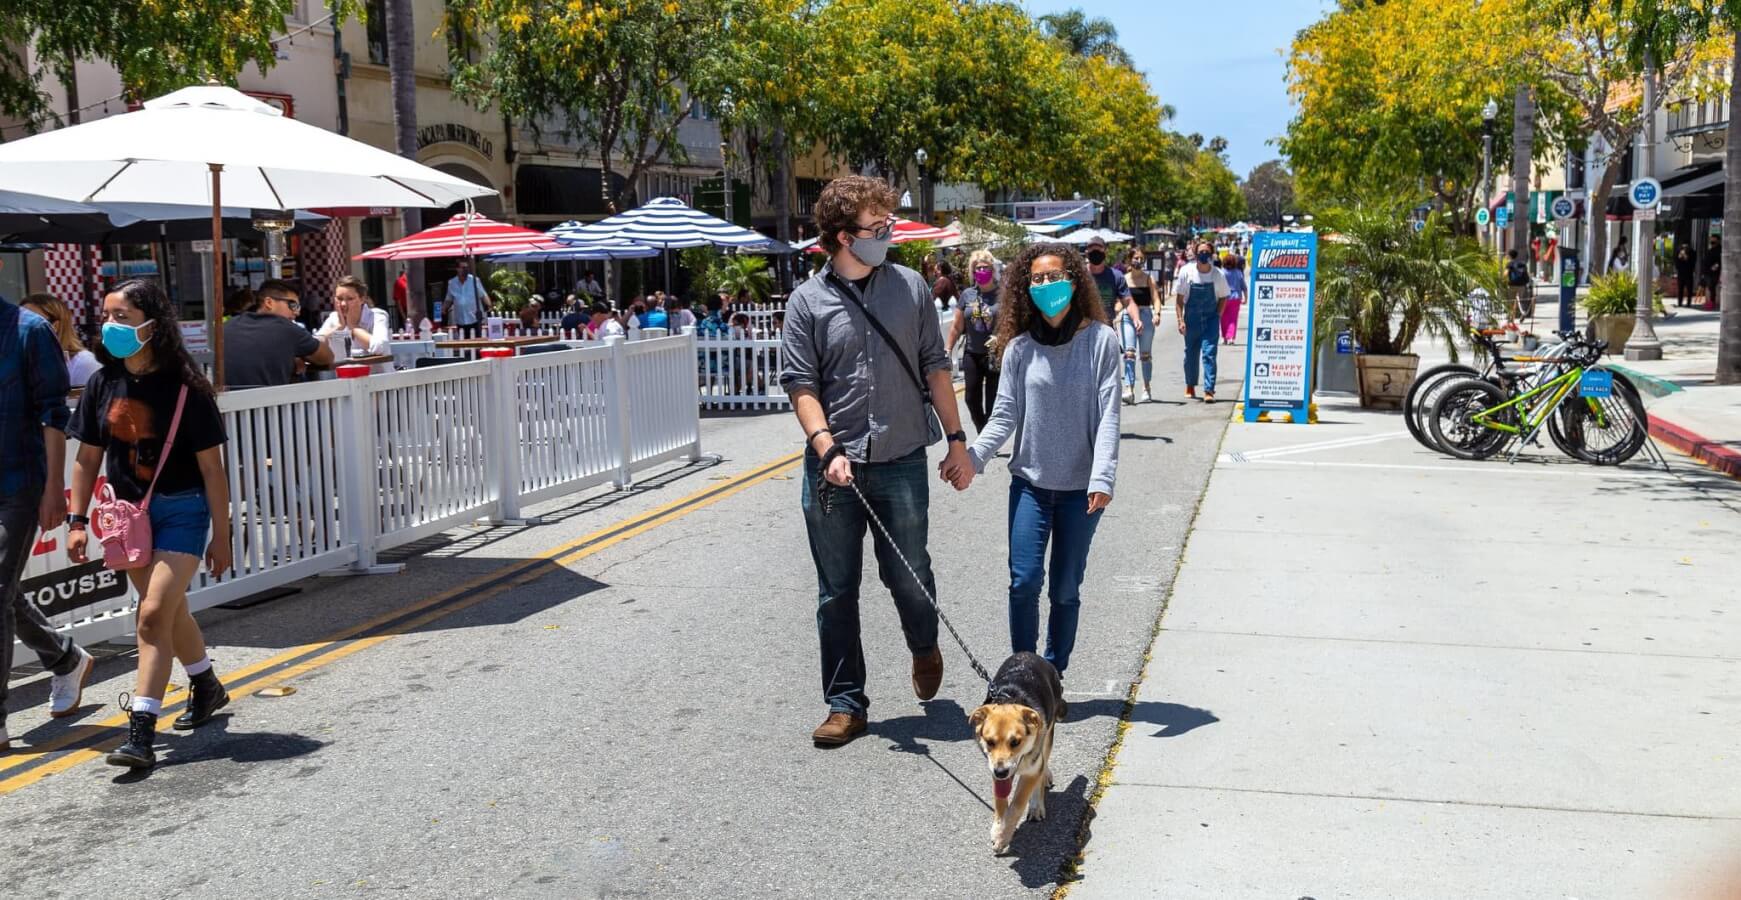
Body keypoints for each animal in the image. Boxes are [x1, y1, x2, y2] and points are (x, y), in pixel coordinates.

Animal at [967, 651, 1058, 849]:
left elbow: (1017, 804)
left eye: (1015, 741)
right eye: (989, 742)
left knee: (1044, 759)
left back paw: (1037, 804)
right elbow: (1000, 801)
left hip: (1048, 732)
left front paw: (1003, 836)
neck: (1009, 700)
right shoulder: (993, 768)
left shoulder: (1031, 770)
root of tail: (1029, 654)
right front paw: (998, 827)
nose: (1001, 772)